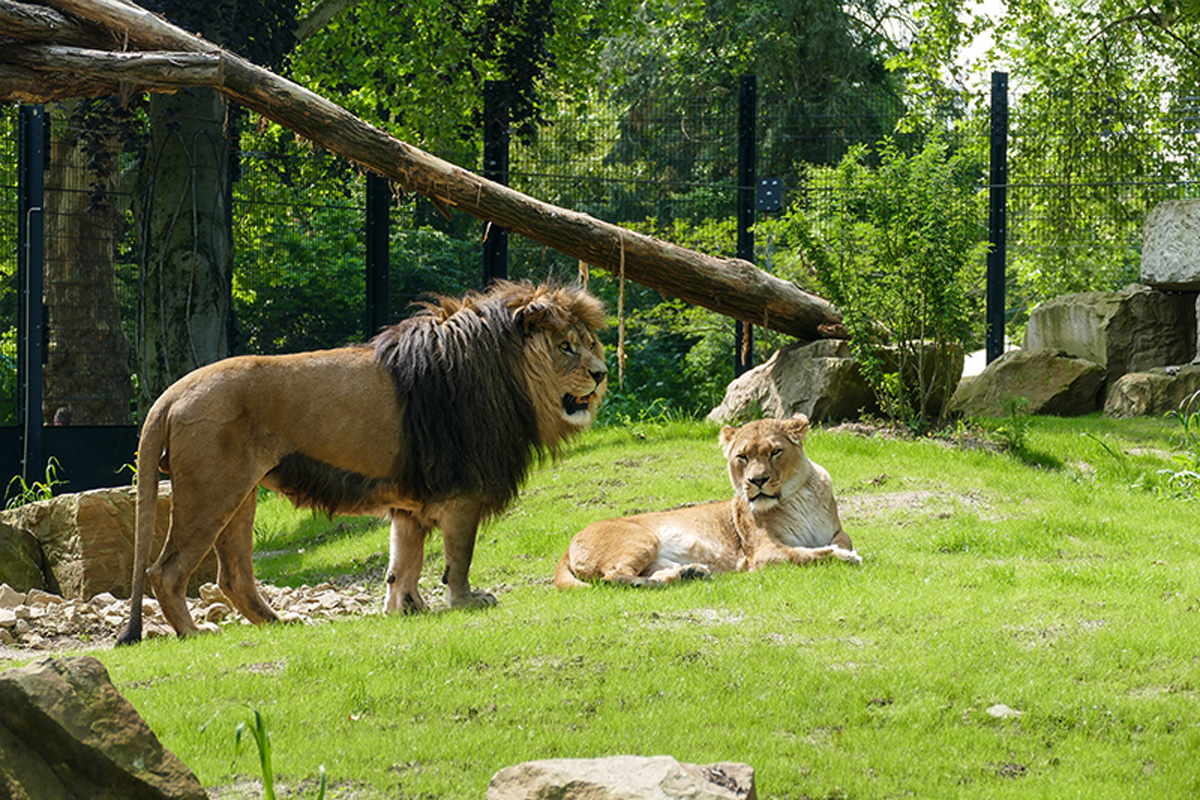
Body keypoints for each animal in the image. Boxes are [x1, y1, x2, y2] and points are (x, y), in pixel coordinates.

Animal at [119, 281, 609, 642]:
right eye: (566, 347)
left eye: (591, 343)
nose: (602, 373)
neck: (508, 375)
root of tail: (172, 392)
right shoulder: (462, 490)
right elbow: (459, 557)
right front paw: (465, 602)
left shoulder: (412, 501)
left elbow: (403, 563)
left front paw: (406, 609)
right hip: (212, 492)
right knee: (166, 571)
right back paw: (194, 632)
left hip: (240, 496)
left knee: (233, 576)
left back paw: (280, 624)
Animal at [556, 417, 859, 592]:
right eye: (742, 457)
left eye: (775, 452)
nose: (757, 480)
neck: (798, 498)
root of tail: (569, 543)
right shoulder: (762, 553)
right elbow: (806, 554)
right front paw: (845, 557)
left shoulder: (836, 530)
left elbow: (842, 539)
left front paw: (844, 550)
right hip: (641, 538)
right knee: (613, 577)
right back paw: (668, 581)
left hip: (657, 557)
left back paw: (689, 573)